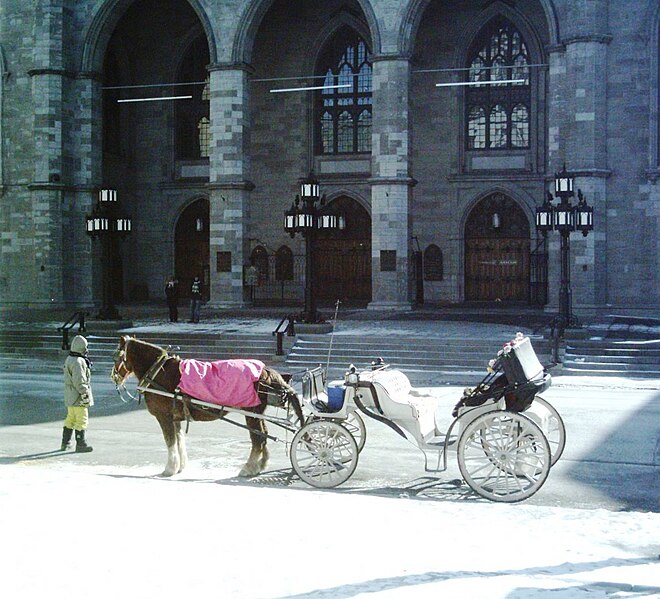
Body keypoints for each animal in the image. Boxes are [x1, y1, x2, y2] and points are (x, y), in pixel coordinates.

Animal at [111, 338, 304, 478]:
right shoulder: (175, 418)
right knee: (262, 436)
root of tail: (266, 371)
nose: (114, 377)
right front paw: (180, 466)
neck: (158, 371)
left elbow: (170, 442)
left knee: (258, 439)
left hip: (251, 413)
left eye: (116, 357)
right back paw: (261, 465)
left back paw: (248, 468)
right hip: (256, 414)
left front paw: (170, 468)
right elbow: (179, 440)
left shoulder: (164, 416)